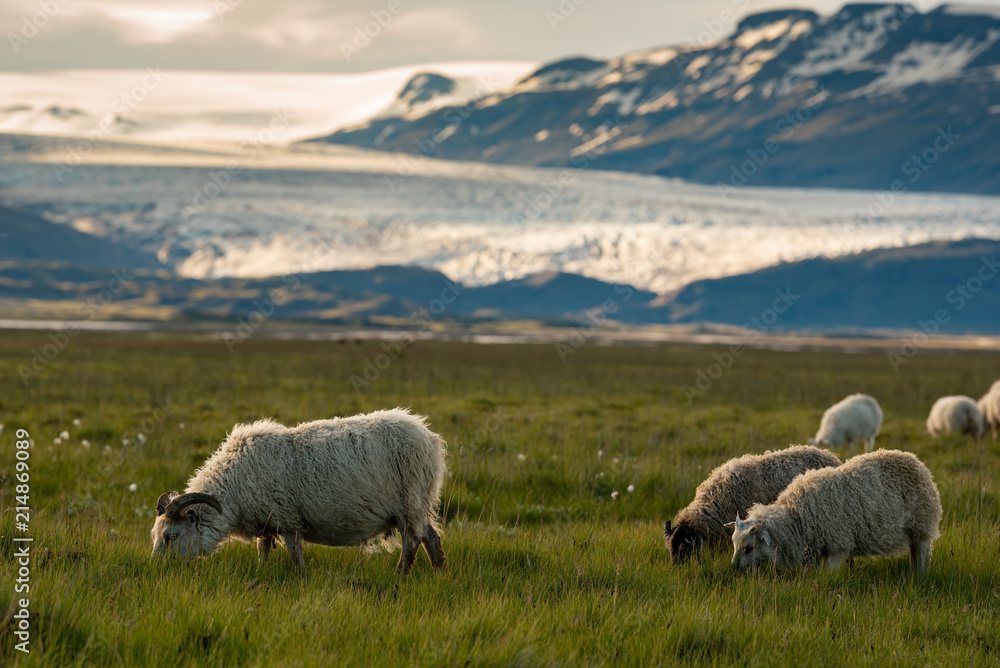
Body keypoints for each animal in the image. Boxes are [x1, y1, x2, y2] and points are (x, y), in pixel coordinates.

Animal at [150, 408, 448, 573]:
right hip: (417, 505)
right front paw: (261, 571)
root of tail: (429, 437)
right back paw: (440, 574)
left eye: (171, 536)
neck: (234, 486)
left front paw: (300, 578)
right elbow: (263, 550)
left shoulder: (289, 519)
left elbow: (295, 557)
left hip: (410, 502)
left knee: (411, 542)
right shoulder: (266, 520)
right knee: (430, 537)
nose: (156, 570)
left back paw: (400, 575)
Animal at [726, 449, 941, 574]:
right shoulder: (815, 549)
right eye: (734, 544)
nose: (734, 568)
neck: (797, 518)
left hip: (921, 524)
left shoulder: (838, 545)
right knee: (914, 552)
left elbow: (829, 575)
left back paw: (920, 576)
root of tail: (913, 459)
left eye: (749, 547)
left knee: (922, 552)